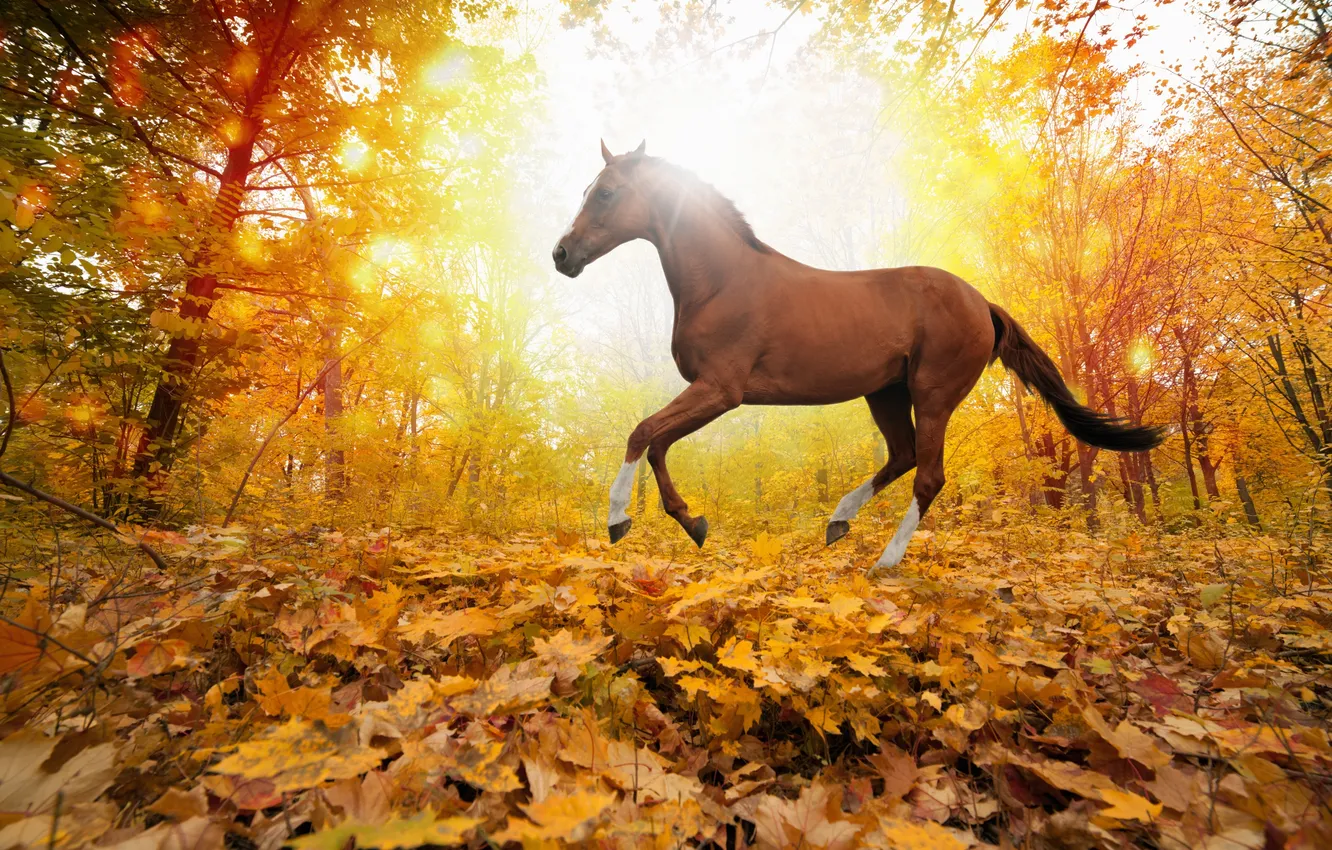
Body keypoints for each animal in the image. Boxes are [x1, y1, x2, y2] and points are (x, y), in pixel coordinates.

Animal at [553, 141, 1164, 576]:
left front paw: (618, 519)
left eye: (606, 193)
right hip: (884, 393)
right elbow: (657, 442)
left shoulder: (721, 390)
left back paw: (884, 562)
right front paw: (692, 522)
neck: (723, 281)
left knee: (929, 475)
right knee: (903, 456)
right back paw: (838, 522)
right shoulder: (712, 393)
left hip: (932, 394)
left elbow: (642, 432)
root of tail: (982, 303)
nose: (561, 255)